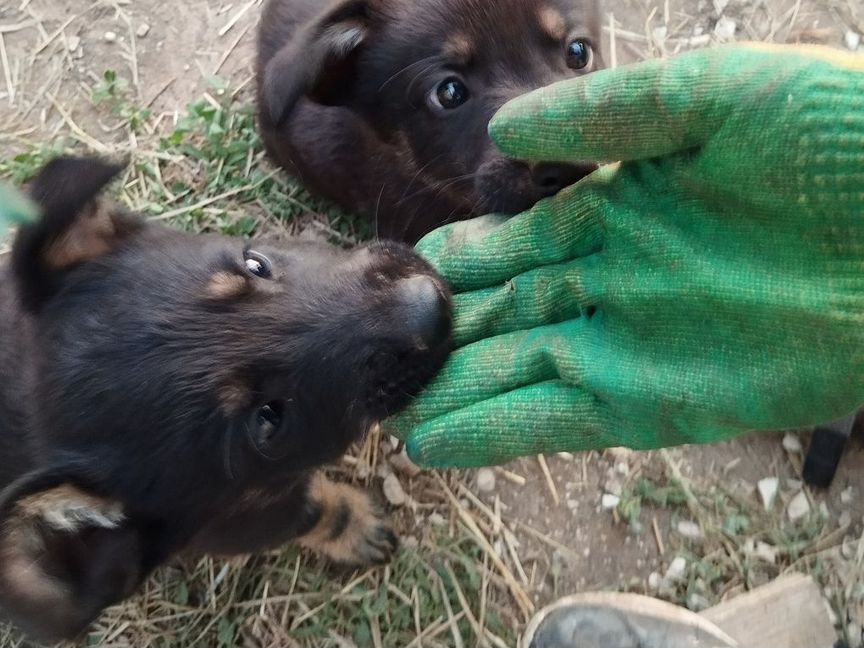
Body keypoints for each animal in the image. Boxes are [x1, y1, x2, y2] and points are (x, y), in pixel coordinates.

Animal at [0, 158, 456, 644]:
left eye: (255, 265)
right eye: (268, 420)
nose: (429, 303)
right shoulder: (249, 521)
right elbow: (315, 510)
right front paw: (355, 526)